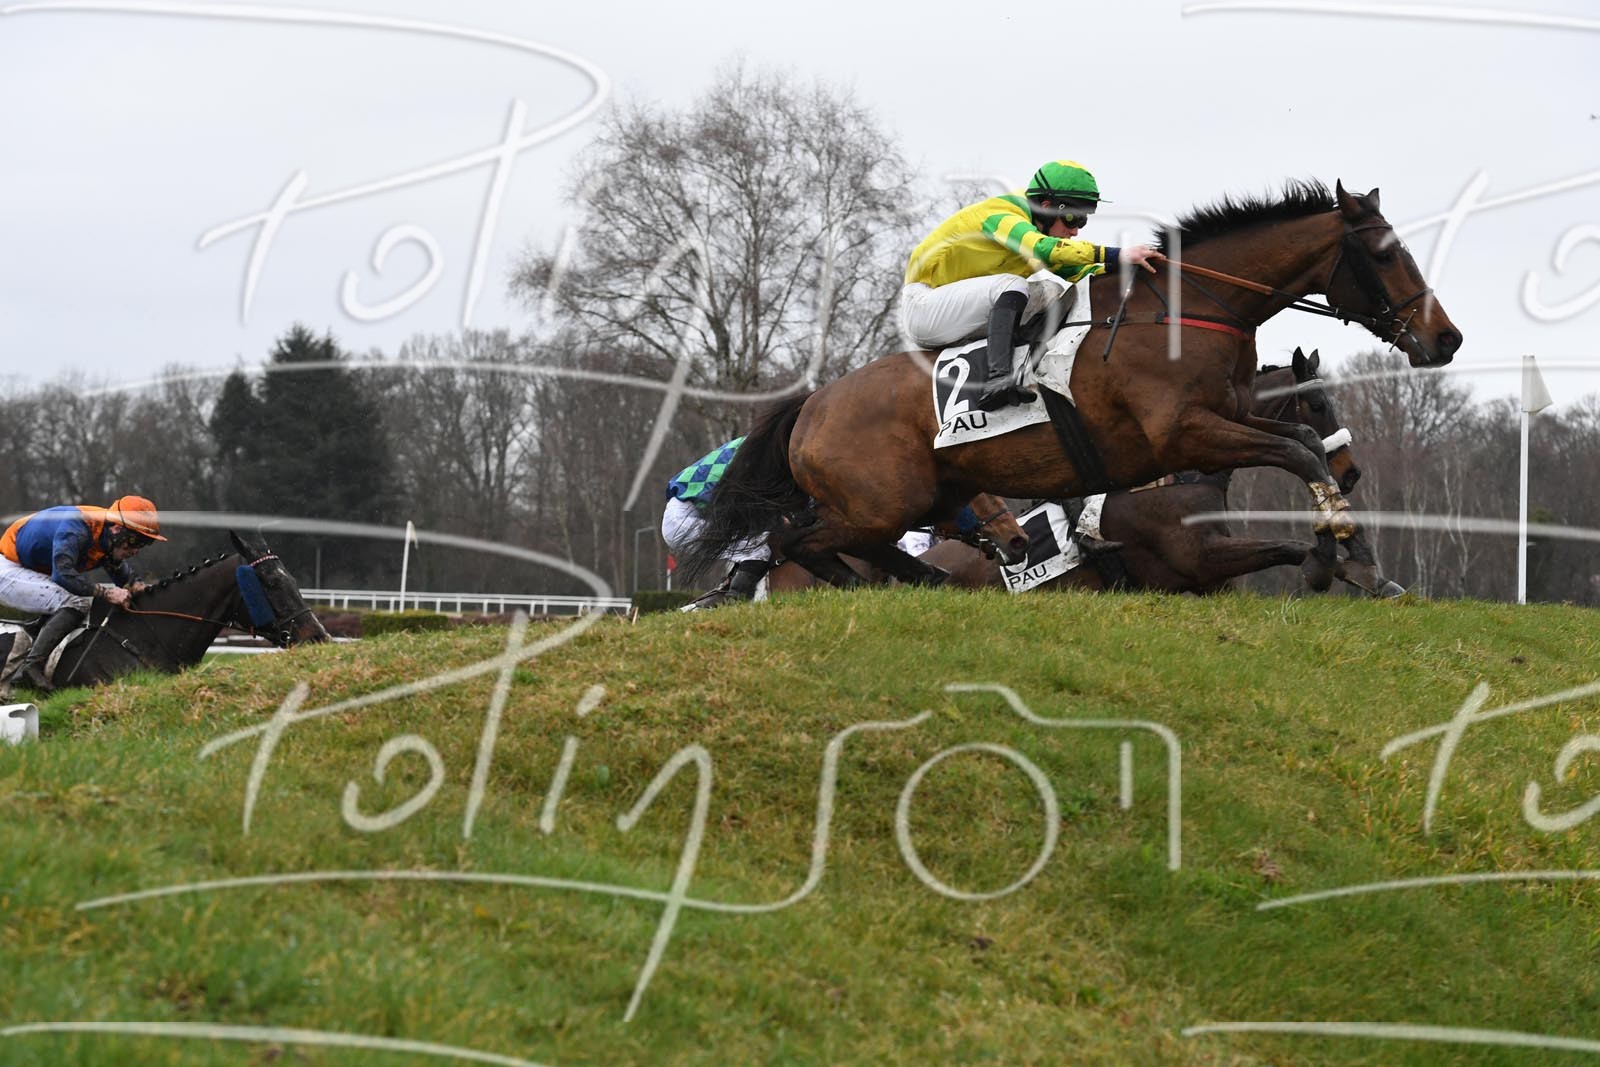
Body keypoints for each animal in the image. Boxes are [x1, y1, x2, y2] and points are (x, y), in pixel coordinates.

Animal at [925, 349, 1404, 596]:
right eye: (1319, 404)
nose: (1351, 472)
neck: (1183, 476)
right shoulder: (1199, 560)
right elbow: (1289, 546)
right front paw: (1347, 570)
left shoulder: (1213, 584)